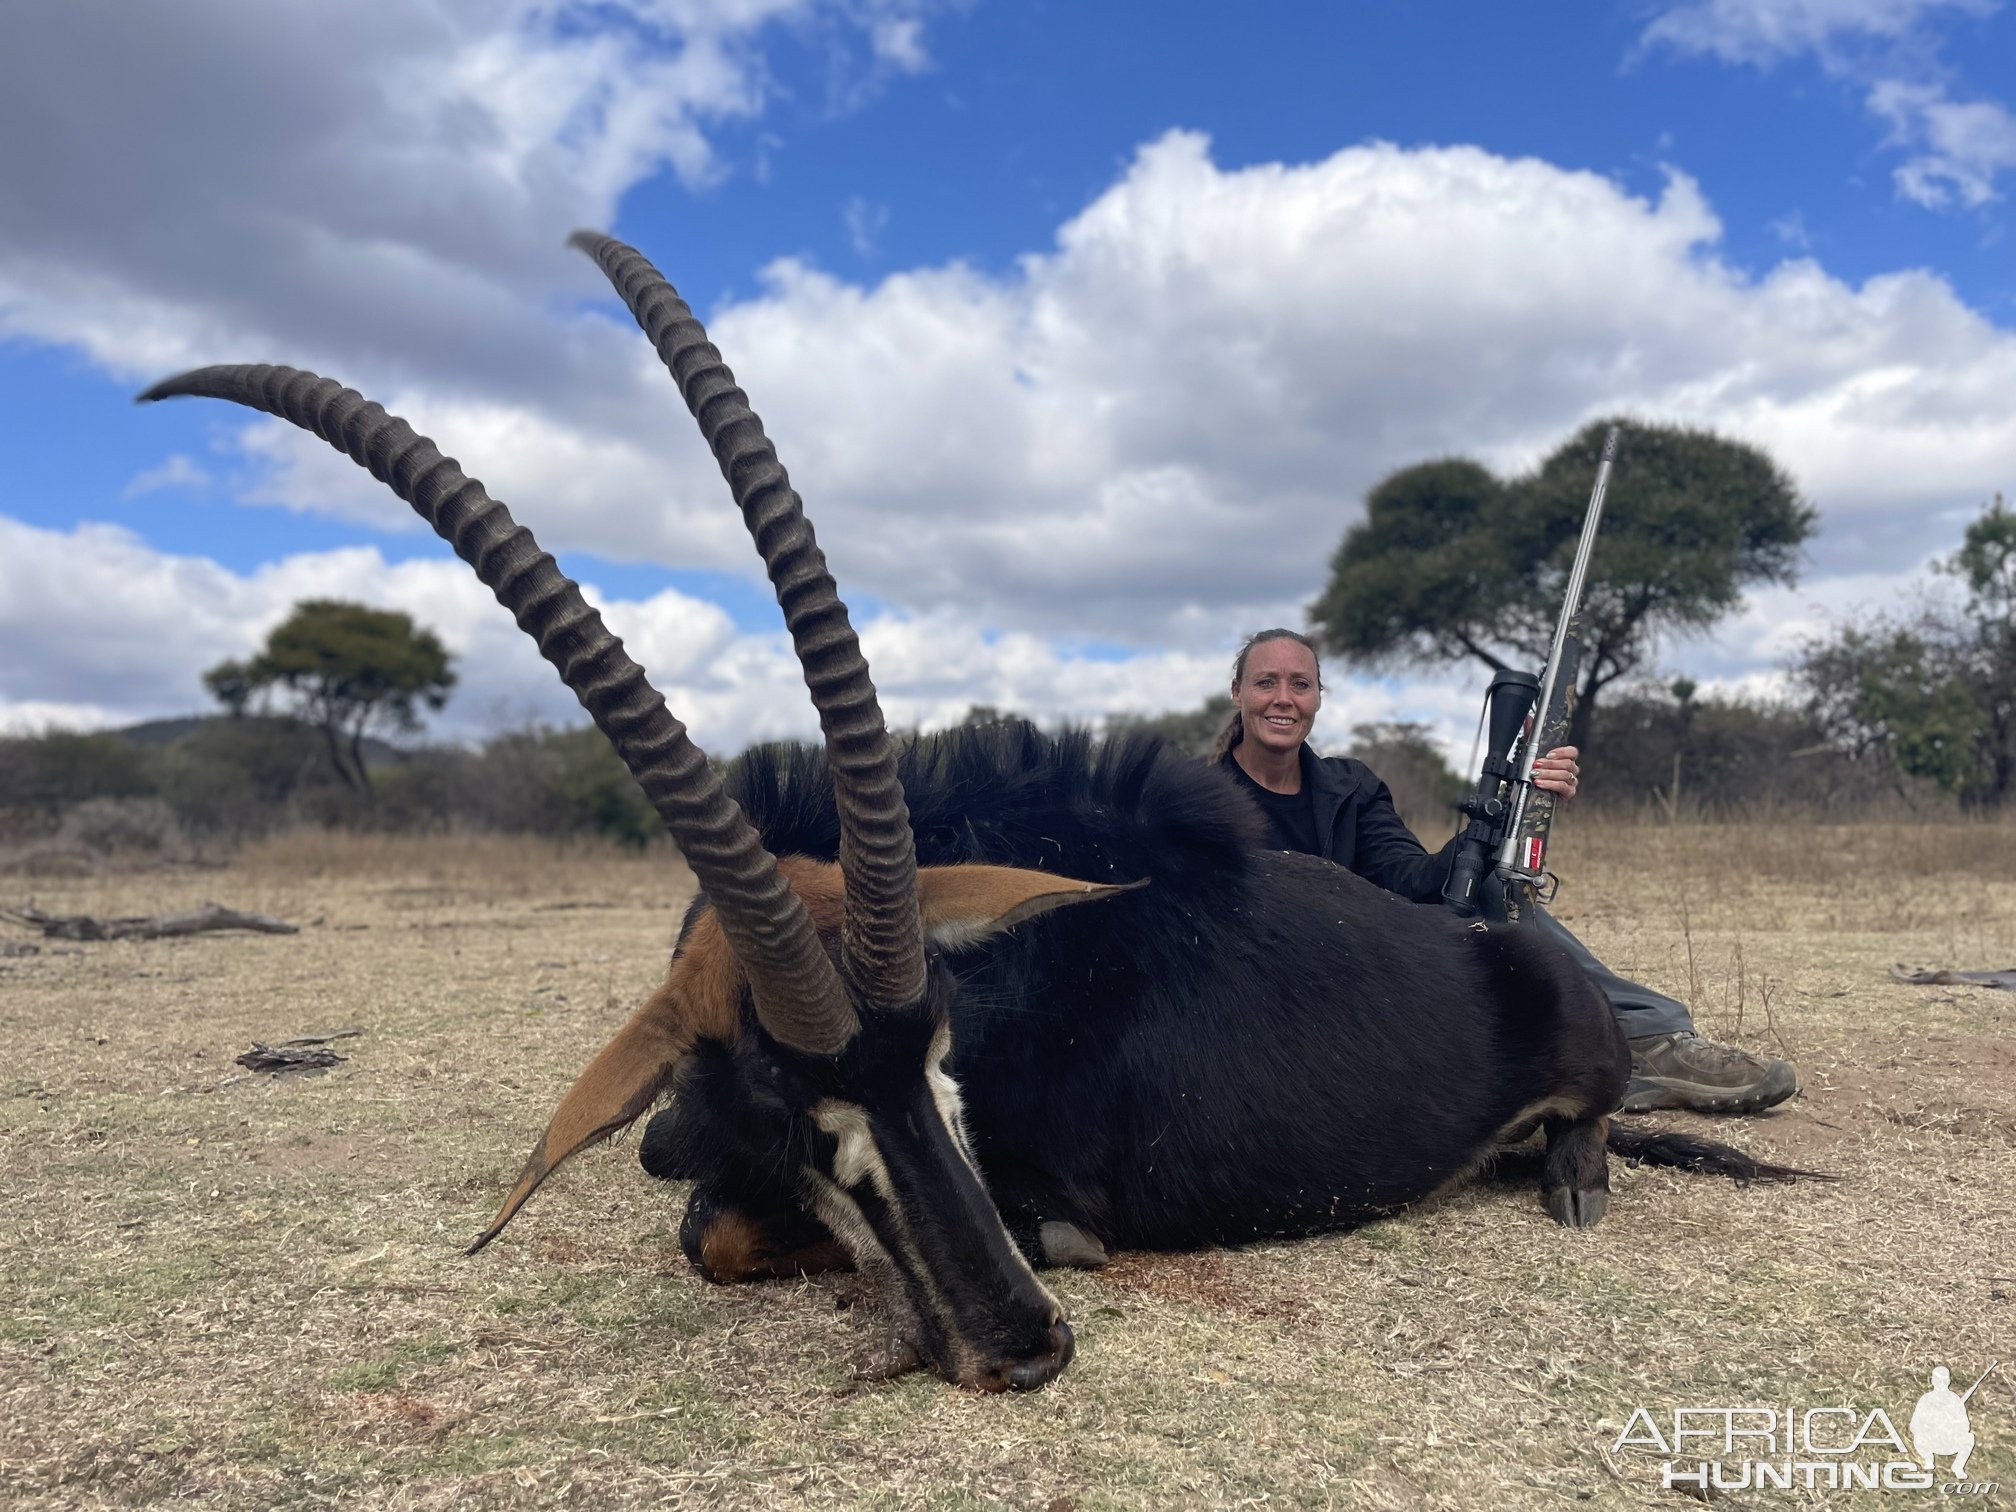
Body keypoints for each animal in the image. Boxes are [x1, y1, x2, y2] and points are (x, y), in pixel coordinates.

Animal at [146, 233, 1814, 1395]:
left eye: (951, 1064)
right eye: (802, 1109)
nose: (1026, 1344)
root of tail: (1490, 936)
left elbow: (714, 1230)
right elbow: (704, 1207)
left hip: (1566, 1023)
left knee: (1592, 1116)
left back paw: (1584, 1175)